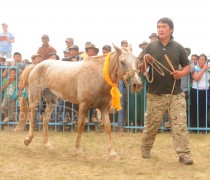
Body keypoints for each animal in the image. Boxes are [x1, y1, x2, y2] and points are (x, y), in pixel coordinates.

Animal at [15, 44, 143, 157]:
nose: (137, 84)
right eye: (122, 62)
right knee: (32, 116)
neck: (98, 75)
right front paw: (78, 150)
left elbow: (108, 127)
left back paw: (47, 144)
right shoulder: (83, 105)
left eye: (137, 61)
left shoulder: (104, 108)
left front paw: (112, 152)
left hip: (52, 100)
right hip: (35, 97)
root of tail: (36, 65)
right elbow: (81, 125)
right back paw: (28, 139)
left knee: (45, 118)